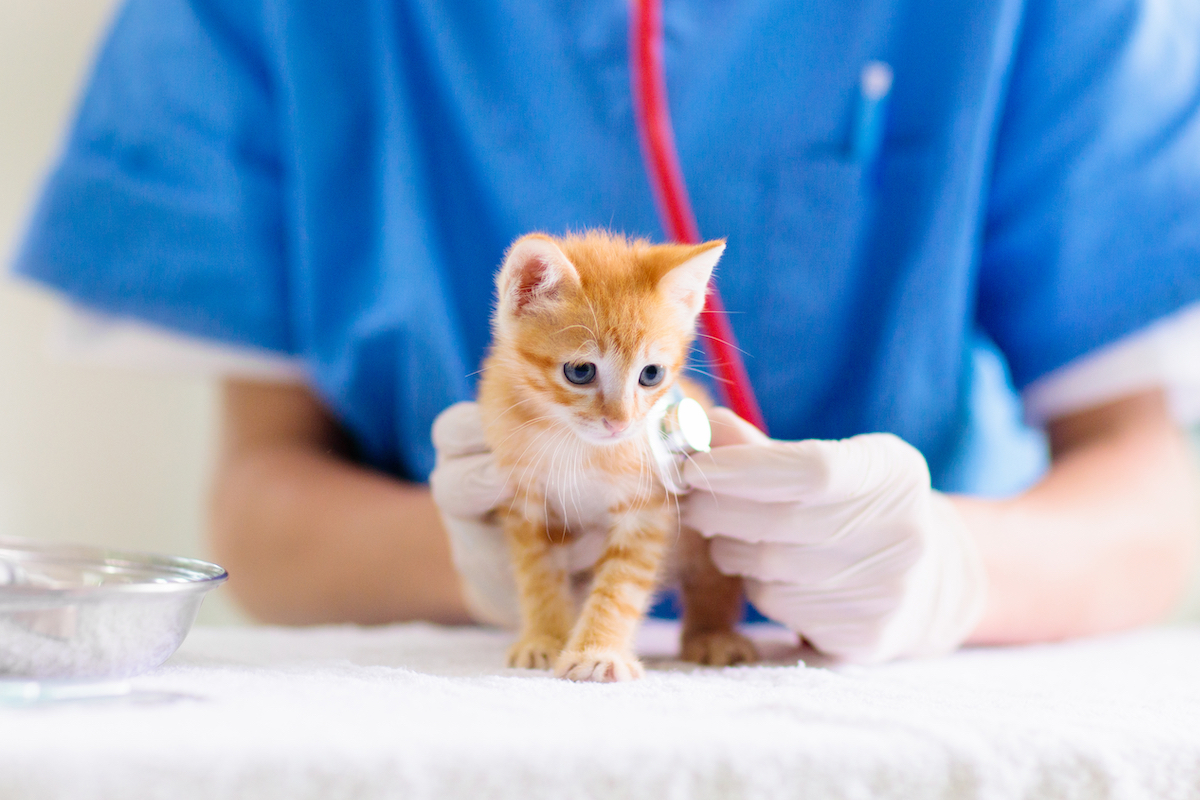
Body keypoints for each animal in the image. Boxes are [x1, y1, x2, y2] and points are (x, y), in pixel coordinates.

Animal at [472, 230, 753, 681]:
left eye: (651, 374)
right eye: (580, 371)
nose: (620, 423)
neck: (578, 445)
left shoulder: (648, 505)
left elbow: (620, 585)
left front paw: (597, 650)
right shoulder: (524, 500)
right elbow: (537, 574)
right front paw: (544, 638)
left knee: (712, 581)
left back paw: (713, 635)